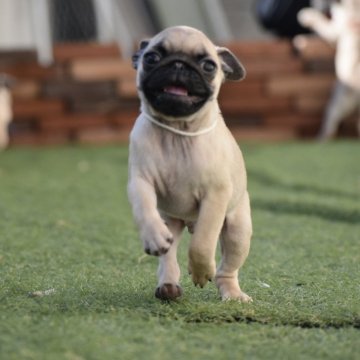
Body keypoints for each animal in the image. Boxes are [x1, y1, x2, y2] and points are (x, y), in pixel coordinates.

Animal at [128, 26, 252, 300]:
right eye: (151, 57)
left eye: (208, 66)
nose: (179, 64)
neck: (178, 132)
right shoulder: (140, 181)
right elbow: (144, 208)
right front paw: (152, 236)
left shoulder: (215, 195)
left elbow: (203, 241)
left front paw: (200, 270)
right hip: (171, 221)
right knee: (169, 254)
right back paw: (168, 285)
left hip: (238, 230)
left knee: (227, 268)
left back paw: (232, 293)